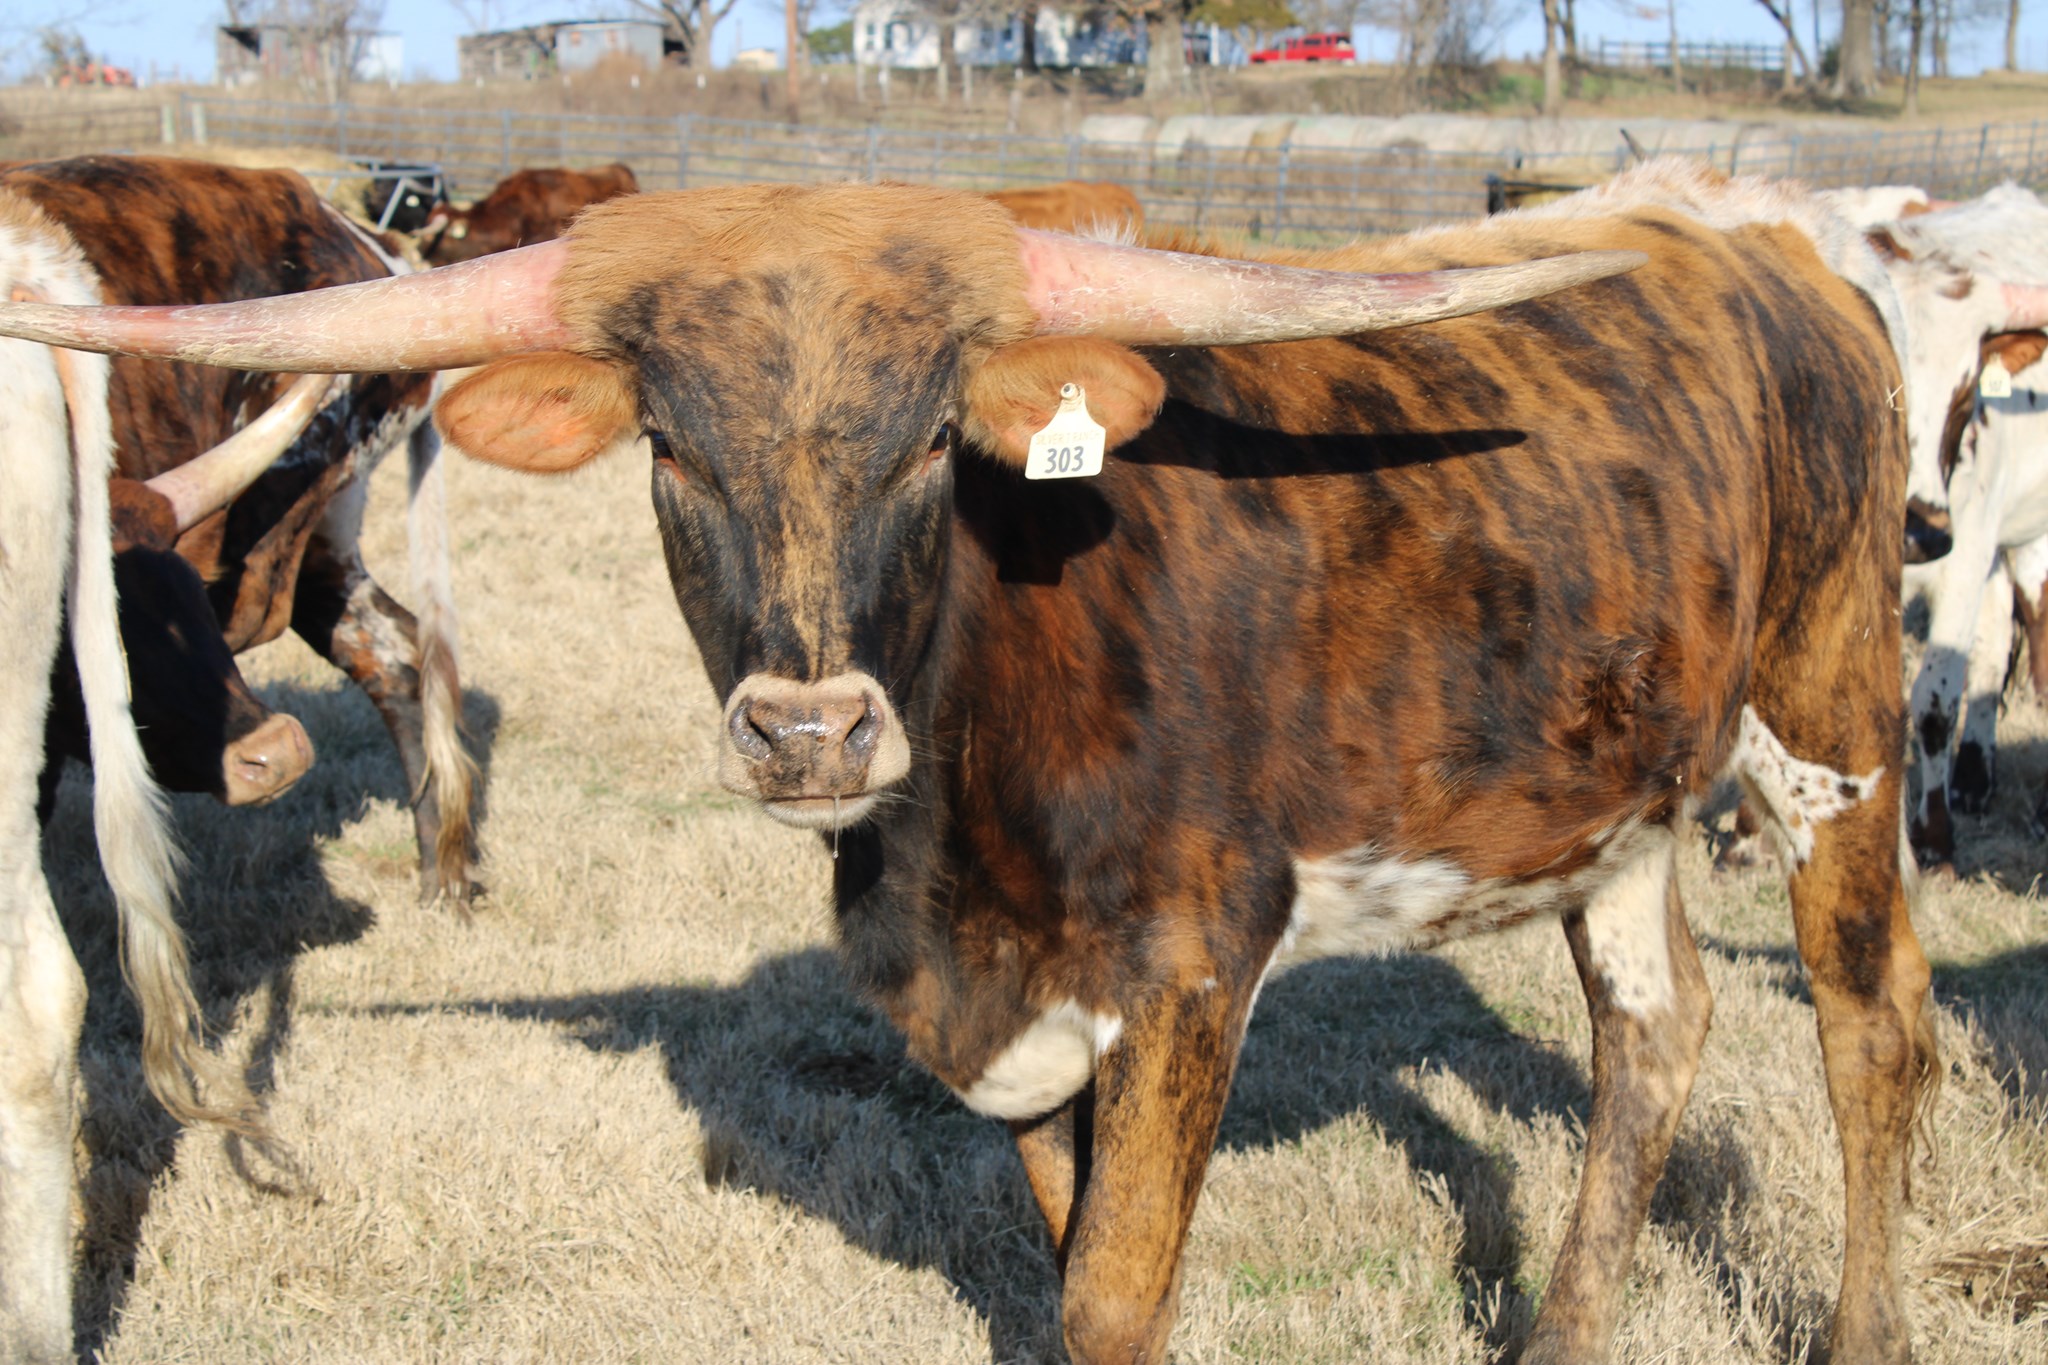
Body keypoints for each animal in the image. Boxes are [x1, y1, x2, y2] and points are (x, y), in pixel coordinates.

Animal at [1861, 184, 2048, 863]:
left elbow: (1936, 699)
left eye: (1966, 396)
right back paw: (1973, 776)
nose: (1915, 534)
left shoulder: (1964, 555)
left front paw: (1933, 833)